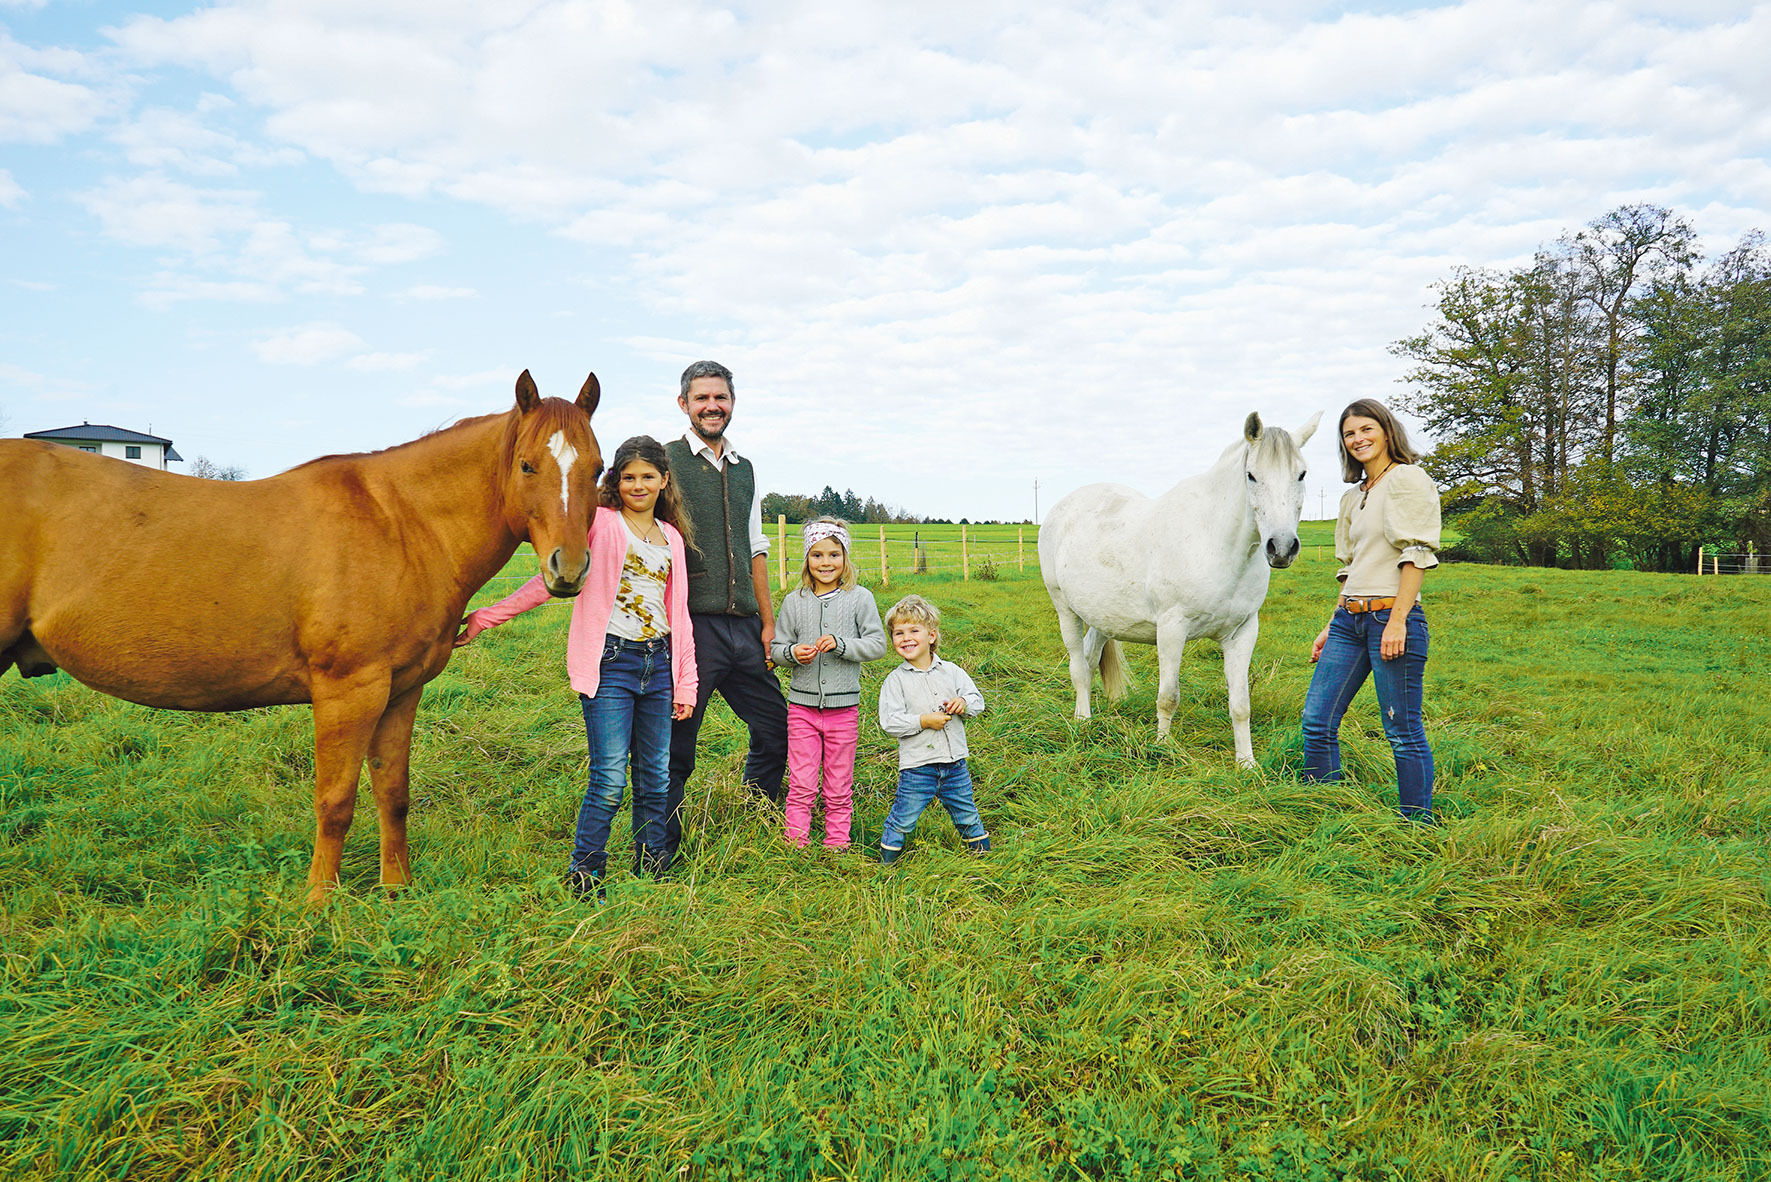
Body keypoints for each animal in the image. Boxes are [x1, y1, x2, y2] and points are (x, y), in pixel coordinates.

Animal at [1, 373, 602, 900]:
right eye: (527, 465)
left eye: (597, 469)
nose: (569, 569)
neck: (399, 522)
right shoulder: (348, 692)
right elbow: (334, 801)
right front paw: (318, 902)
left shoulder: (401, 692)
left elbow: (393, 793)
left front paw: (396, 890)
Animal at [1041, 414, 1324, 769]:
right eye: (1251, 475)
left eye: (1301, 474)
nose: (1282, 547)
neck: (1214, 542)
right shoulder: (1172, 630)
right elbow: (1168, 697)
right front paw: (1162, 749)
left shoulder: (1243, 633)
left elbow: (1241, 704)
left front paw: (1246, 763)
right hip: (1065, 609)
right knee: (1078, 667)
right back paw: (1082, 722)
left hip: (1102, 617)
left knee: (1091, 660)